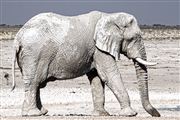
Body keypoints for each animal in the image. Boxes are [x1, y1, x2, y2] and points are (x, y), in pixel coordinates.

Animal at [11, 10, 160, 116]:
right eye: (134, 38)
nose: (157, 114)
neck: (110, 16)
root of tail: (18, 37)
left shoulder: (94, 51)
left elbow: (96, 78)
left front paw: (101, 114)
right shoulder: (98, 48)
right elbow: (109, 74)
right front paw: (130, 114)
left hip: (28, 56)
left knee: (35, 84)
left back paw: (41, 112)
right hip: (34, 54)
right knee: (34, 82)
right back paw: (33, 114)